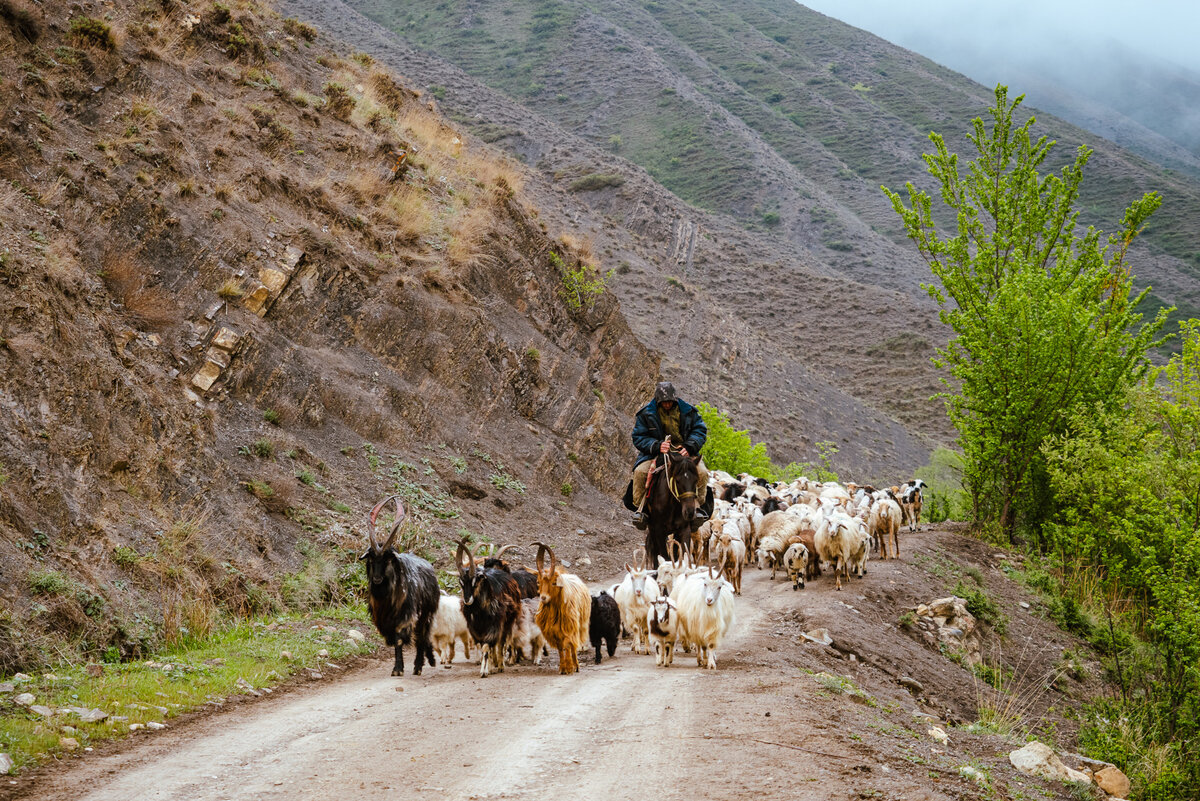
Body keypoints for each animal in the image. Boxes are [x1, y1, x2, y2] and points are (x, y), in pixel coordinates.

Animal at [364, 494, 446, 676]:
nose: (377, 579)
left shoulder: (405, 616)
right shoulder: (384, 621)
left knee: (421, 636)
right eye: (371, 559)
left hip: (426, 614)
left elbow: (399, 640)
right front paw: (398, 668)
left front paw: (398, 669)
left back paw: (418, 666)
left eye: (387, 559)